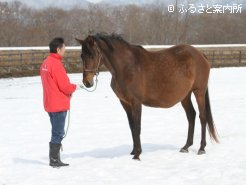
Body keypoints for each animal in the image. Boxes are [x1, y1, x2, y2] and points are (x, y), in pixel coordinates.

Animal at [75, 33, 219, 160]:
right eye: (82, 55)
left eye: (92, 55)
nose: (87, 82)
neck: (127, 67)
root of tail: (200, 54)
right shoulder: (125, 103)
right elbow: (132, 127)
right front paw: (133, 151)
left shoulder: (136, 102)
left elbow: (137, 127)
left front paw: (138, 154)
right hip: (185, 96)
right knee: (191, 116)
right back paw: (186, 147)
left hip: (199, 92)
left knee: (202, 117)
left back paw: (201, 148)